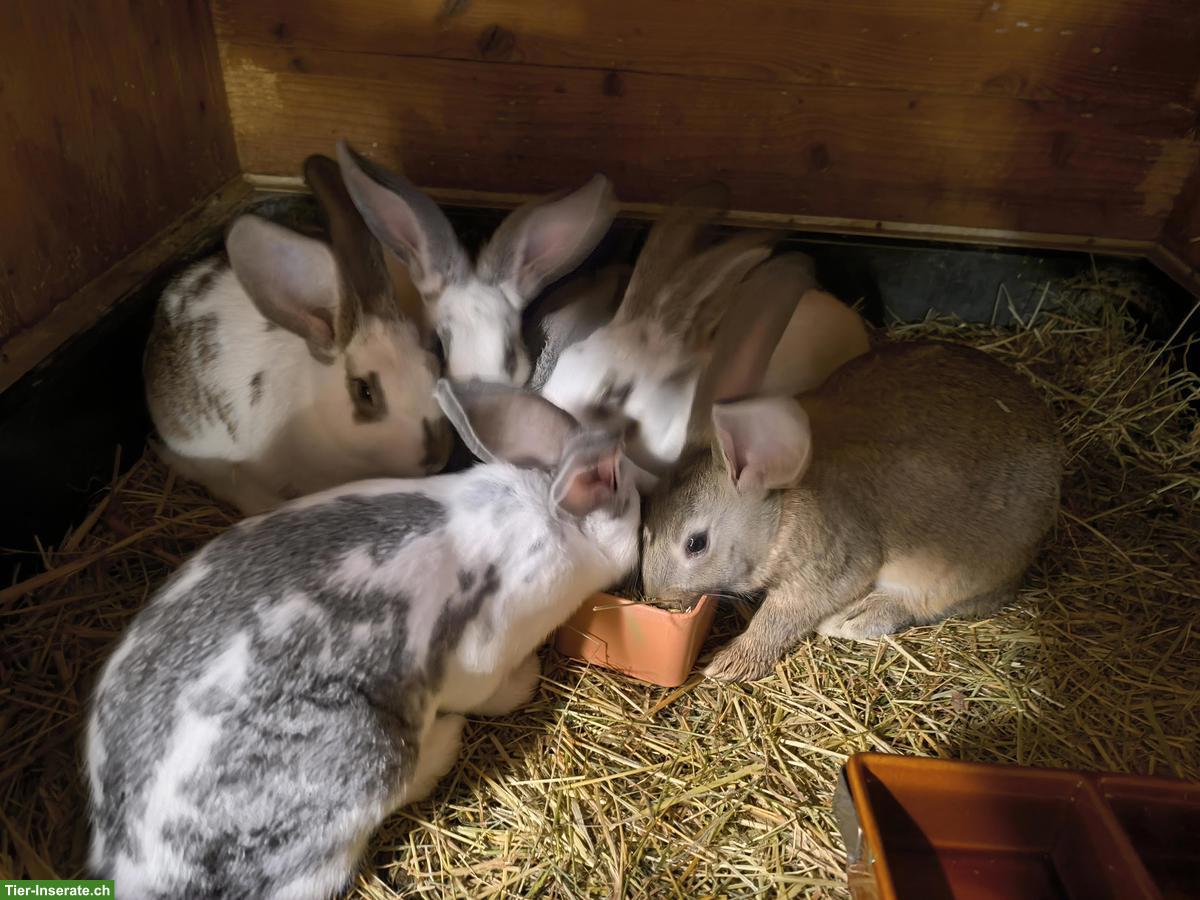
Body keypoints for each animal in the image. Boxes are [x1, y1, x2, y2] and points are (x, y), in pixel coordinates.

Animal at [86, 378, 642, 900]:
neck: (549, 514)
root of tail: (133, 866)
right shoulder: (485, 654)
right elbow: (493, 691)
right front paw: (528, 679)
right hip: (374, 754)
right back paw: (445, 742)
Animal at [639, 272, 1063, 682]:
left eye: (696, 544)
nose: (659, 597)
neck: (780, 514)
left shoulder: (830, 567)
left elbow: (782, 616)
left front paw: (730, 664)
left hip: (950, 574)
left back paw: (851, 619)